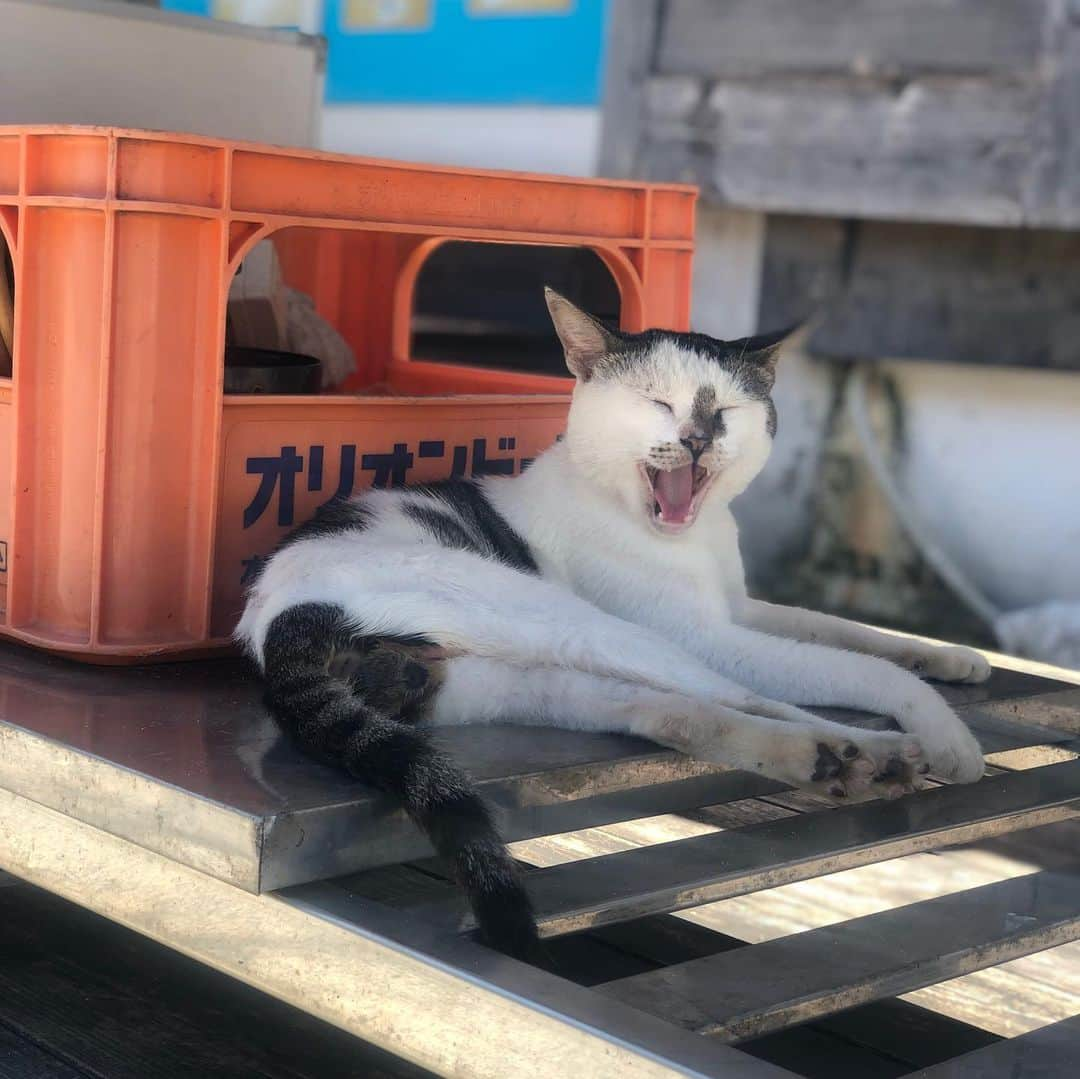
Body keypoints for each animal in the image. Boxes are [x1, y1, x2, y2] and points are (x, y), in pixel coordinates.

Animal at [236, 291, 989, 959]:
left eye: (729, 410)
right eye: (657, 401)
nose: (696, 438)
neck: (690, 535)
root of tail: (275, 624)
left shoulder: (743, 609)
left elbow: (847, 630)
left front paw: (951, 656)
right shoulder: (710, 636)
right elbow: (855, 667)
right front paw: (947, 730)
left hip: (518, 680)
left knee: (671, 710)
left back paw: (821, 758)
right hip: (578, 622)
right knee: (740, 697)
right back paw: (871, 753)